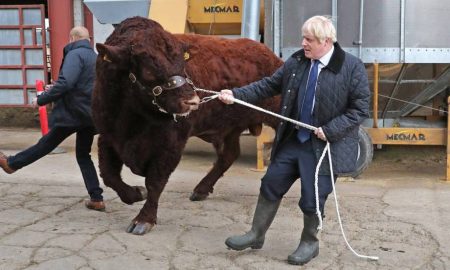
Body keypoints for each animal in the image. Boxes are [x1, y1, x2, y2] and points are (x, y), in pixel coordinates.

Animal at [92, 16, 282, 234]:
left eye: (182, 63)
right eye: (148, 69)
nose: (192, 101)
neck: (132, 119)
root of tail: (270, 56)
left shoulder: (171, 144)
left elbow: (155, 181)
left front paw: (143, 220)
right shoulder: (108, 136)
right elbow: (108, 175)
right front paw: (135, 193)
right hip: (229, 128)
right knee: (228, 155)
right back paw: (200, 190)